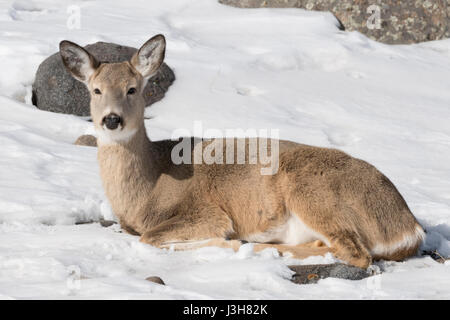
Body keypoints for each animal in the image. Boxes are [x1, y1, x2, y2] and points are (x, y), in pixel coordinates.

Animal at [60, 33, 426, 268]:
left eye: (133, 89)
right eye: (95, 90)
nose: (111, 119)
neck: (149, 186)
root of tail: (409, 227)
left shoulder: (206, 212)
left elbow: (149, 238)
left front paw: (228, 242)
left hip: (313, 192)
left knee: (357, 254)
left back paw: (262, 248)